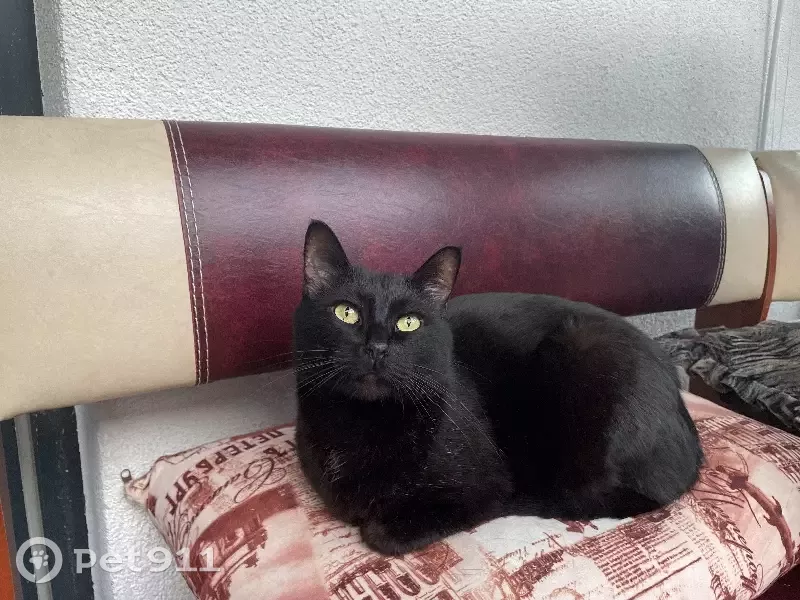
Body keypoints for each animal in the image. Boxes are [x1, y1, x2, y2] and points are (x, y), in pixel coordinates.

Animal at [293, 220, 703, 556]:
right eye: (346, 312)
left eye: (409, 322)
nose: (377, 348)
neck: (362, 424)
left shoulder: (485, 487)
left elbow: (381, 533)